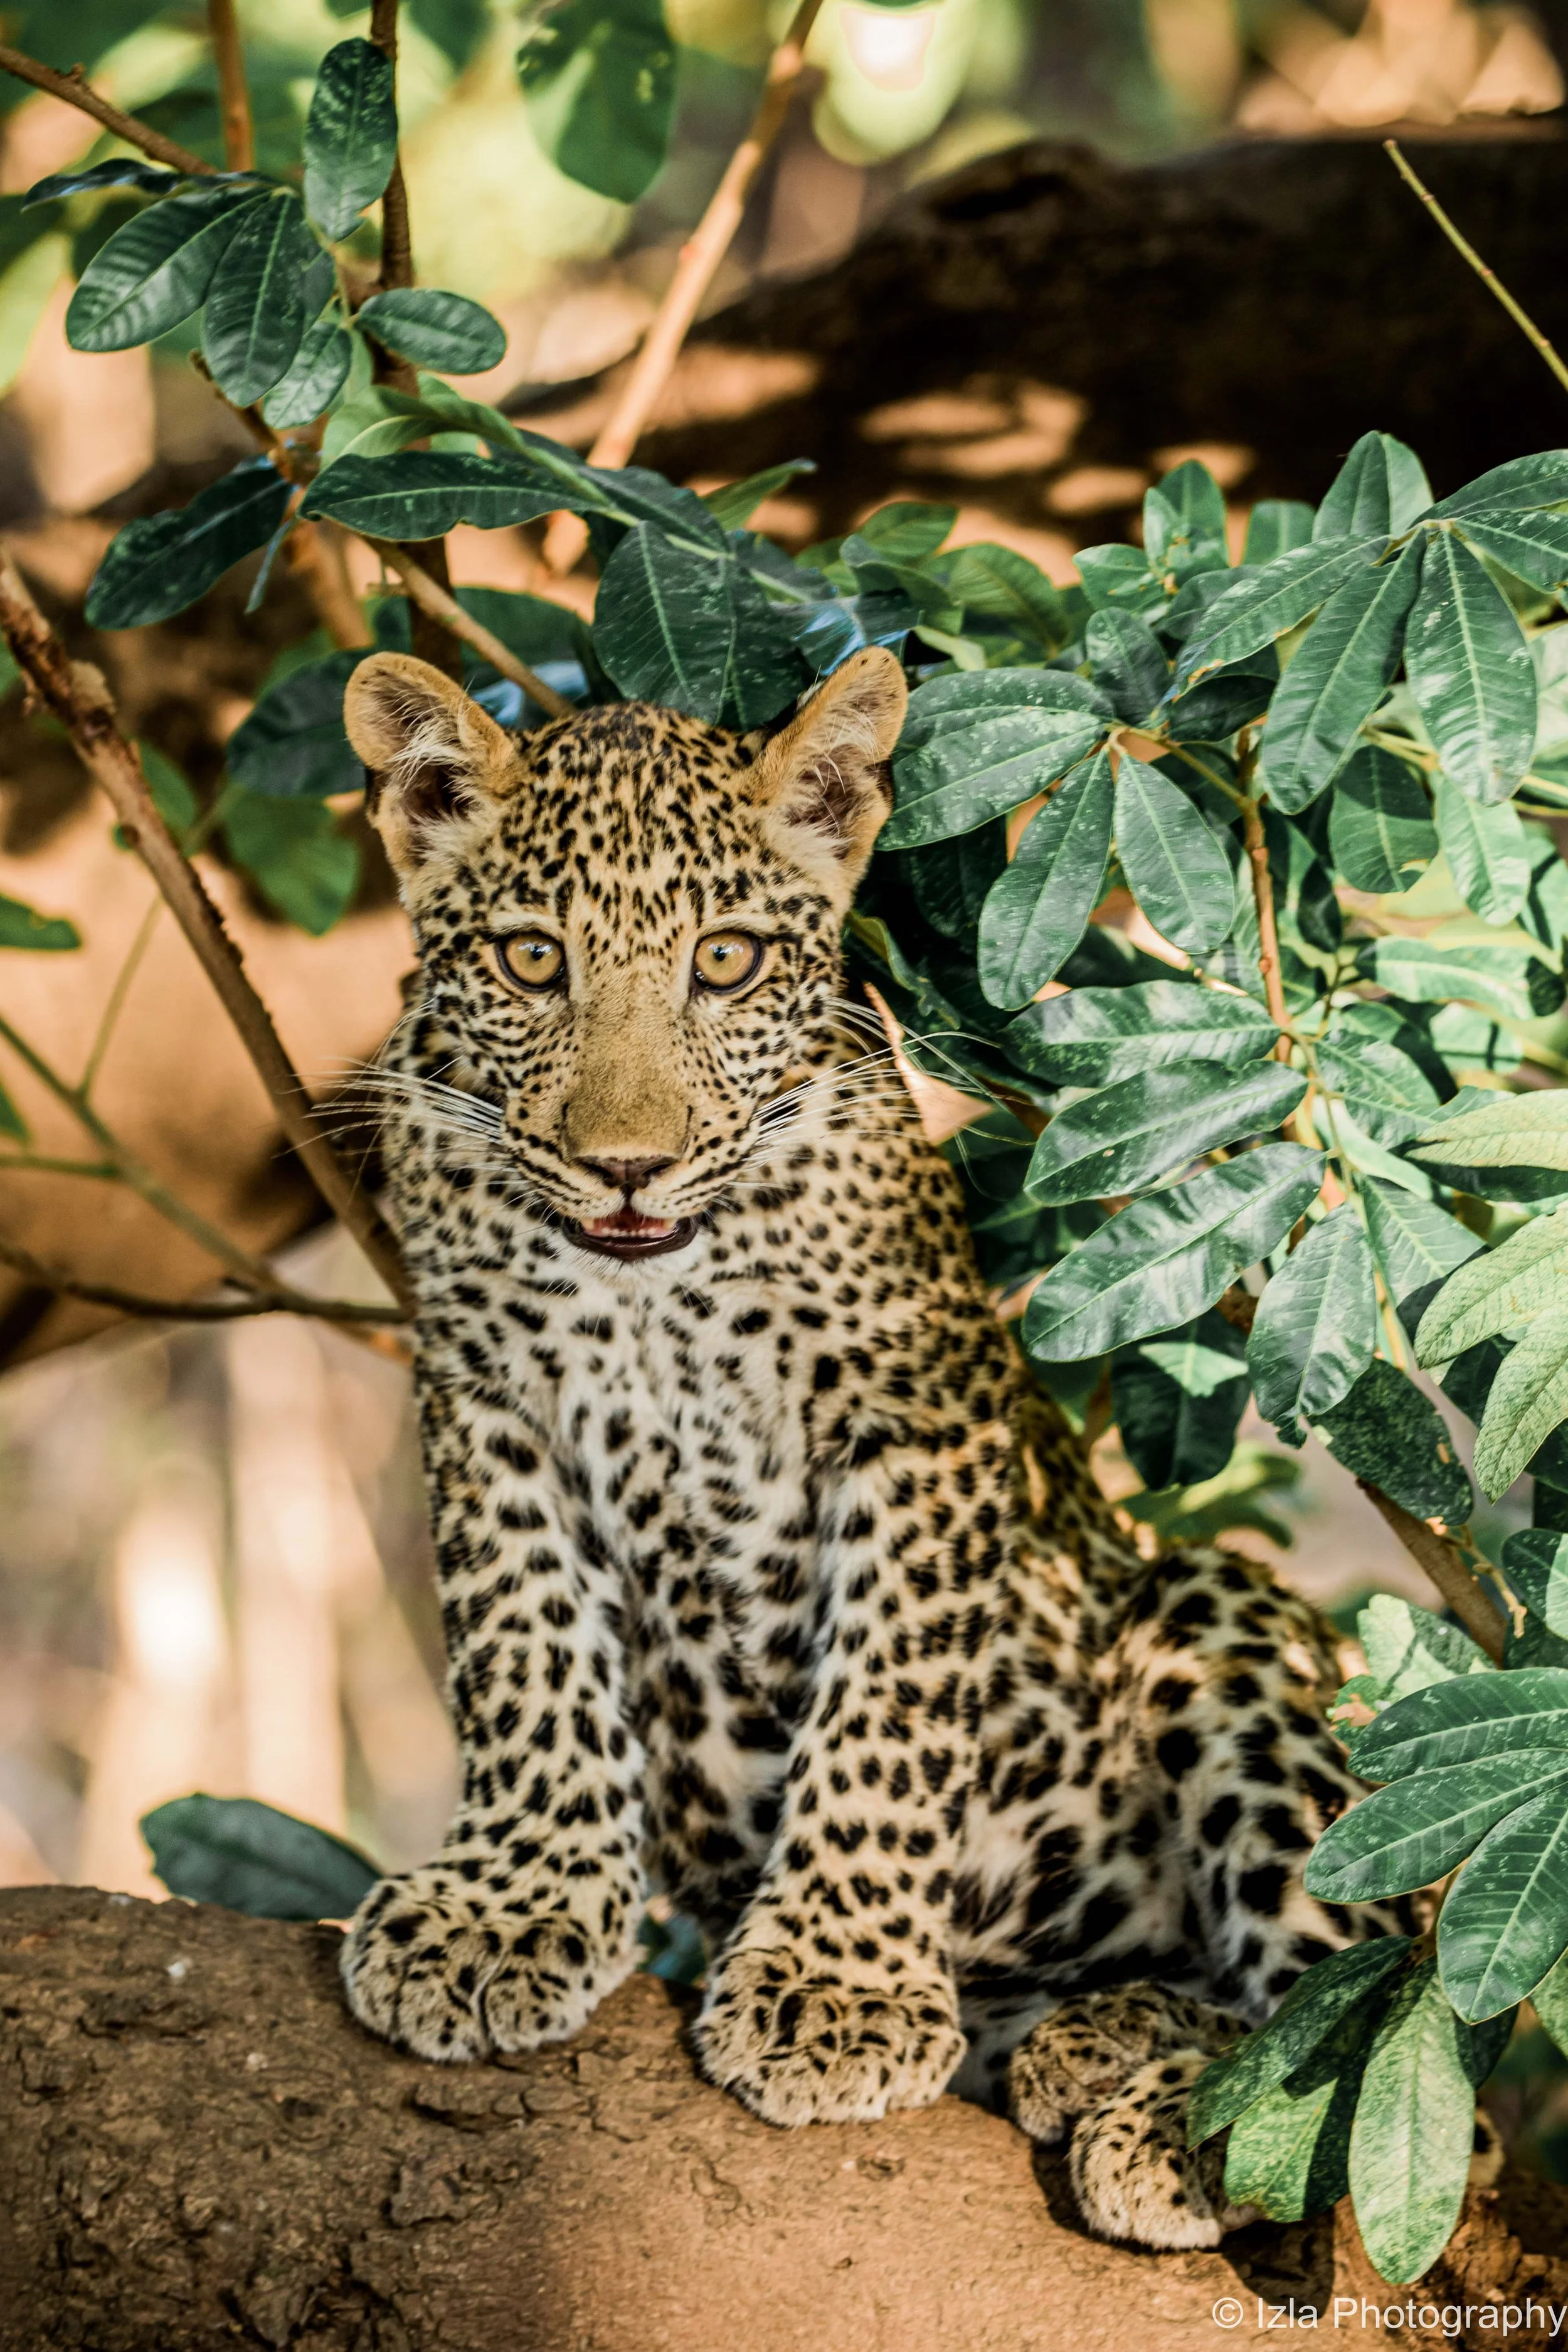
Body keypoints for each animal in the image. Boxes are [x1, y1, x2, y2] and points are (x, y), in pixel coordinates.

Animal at [334, 640, 1405, 2250]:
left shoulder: (921, 1411)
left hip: (1219, 1622)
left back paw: (1183, 2123)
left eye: (725, 962)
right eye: (531, 963)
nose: (627, 1165)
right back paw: (1090, 2035)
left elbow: (887, 1709)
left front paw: (837, 1984)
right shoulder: (486, 1402)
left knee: (1361, 2001)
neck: (648, 1291)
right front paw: (510, 1905)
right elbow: (522, 1657)